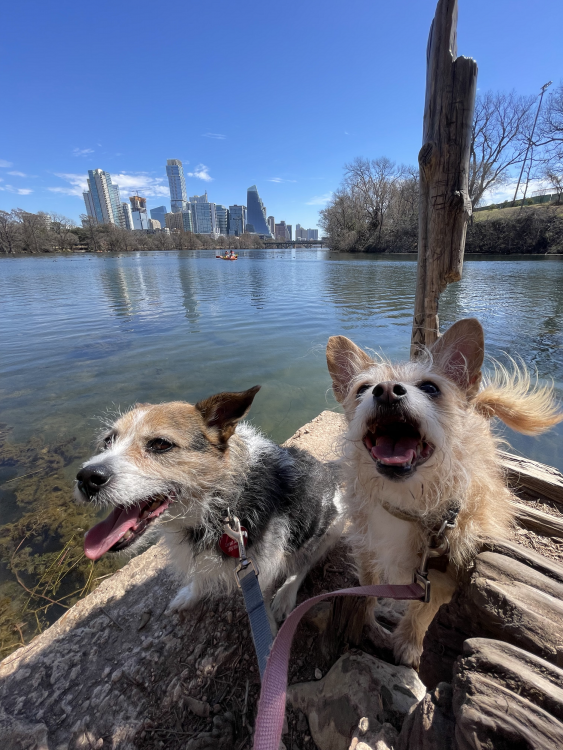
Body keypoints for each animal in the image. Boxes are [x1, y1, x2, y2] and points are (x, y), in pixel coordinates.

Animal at [328, 318, 560, 668]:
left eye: (430, 388)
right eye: (363, 389)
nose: (386, 390)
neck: (405, 499)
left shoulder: (441, 571)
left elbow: (423, 611)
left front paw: (407, 644)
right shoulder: (367, 550)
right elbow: (369, 586)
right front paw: (370, 616)